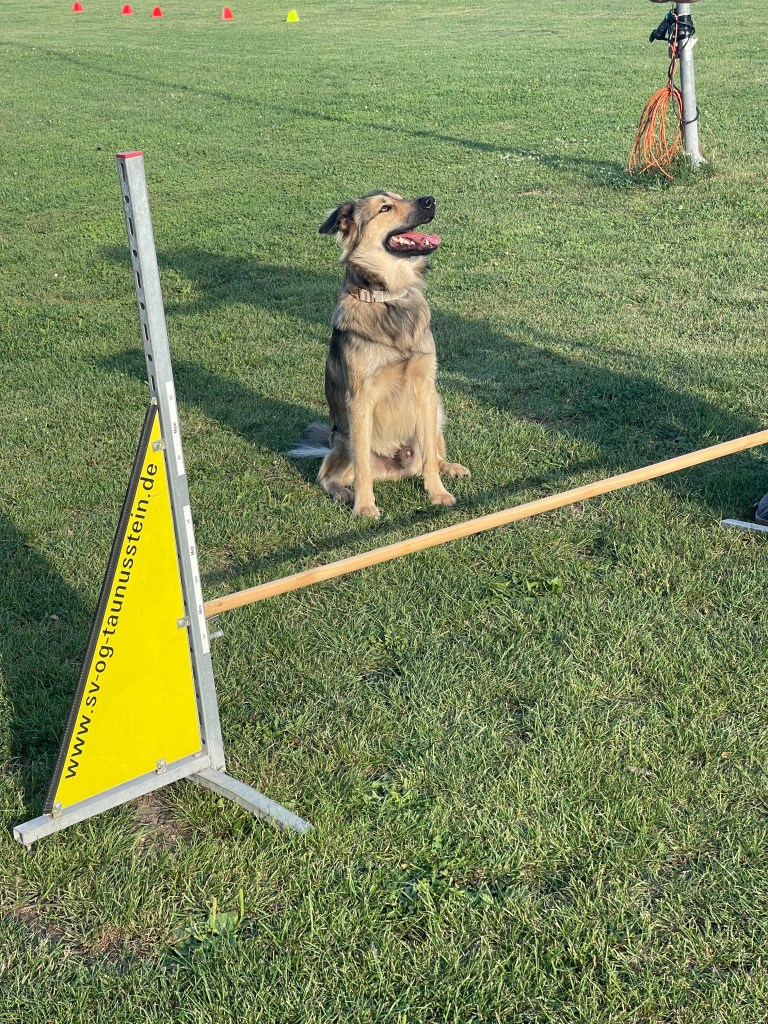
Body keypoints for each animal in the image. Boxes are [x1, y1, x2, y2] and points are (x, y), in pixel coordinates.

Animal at [290, 191, 469, 518]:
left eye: (401, 196)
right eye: (385, 207)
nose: (430, 200)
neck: (388, 299)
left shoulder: (426, 387)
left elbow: (429, 458)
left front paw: (437, 493)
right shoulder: (360, 400)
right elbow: (362, 469)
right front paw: (364, 507)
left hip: (437, 408)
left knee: (433, 453)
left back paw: (448, 466)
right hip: (345, 438)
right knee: (327, 475)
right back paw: (342, 492)